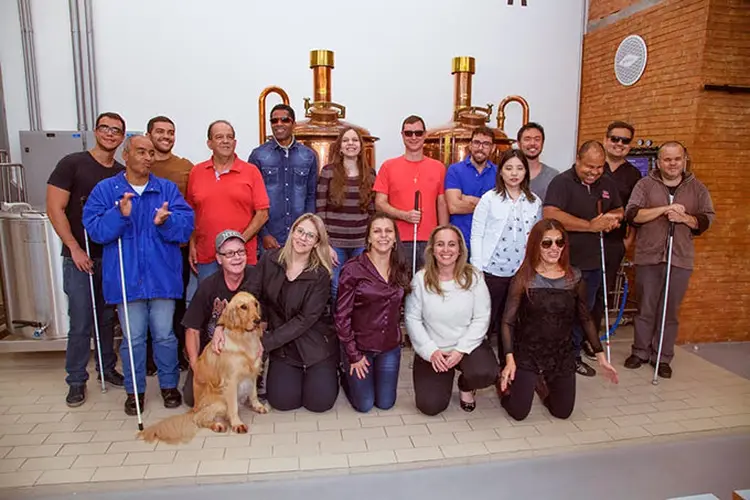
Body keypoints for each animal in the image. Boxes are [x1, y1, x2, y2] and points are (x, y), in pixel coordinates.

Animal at [138, 292, 268, 444]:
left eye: (255, 304)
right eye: (243, 307)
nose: (258, 321)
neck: (243, 338)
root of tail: (194, 408)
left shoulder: (252, 373)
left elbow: (253, 394)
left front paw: (258, 406)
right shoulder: (231, 382)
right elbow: (233, 408)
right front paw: (237, 424)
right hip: (219, 402)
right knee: (199, 419)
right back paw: (217, 425)